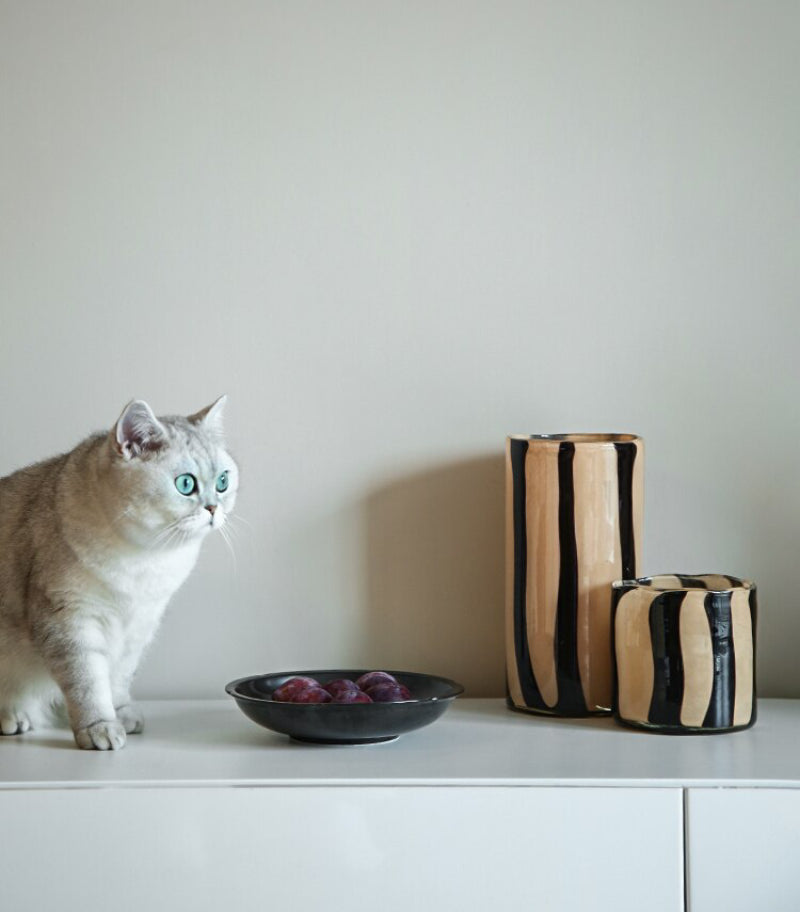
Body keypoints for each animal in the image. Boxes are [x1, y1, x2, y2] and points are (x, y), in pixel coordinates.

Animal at [0, 398, 238, 748]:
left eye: (223, 482)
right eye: (185, 485)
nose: (214, 509)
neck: (145, 559)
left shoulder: (139, 628)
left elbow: (118, 679)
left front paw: (121, 712)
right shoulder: (70, 621)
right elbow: (88, 684)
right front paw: (98, 727)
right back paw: (12, 717)